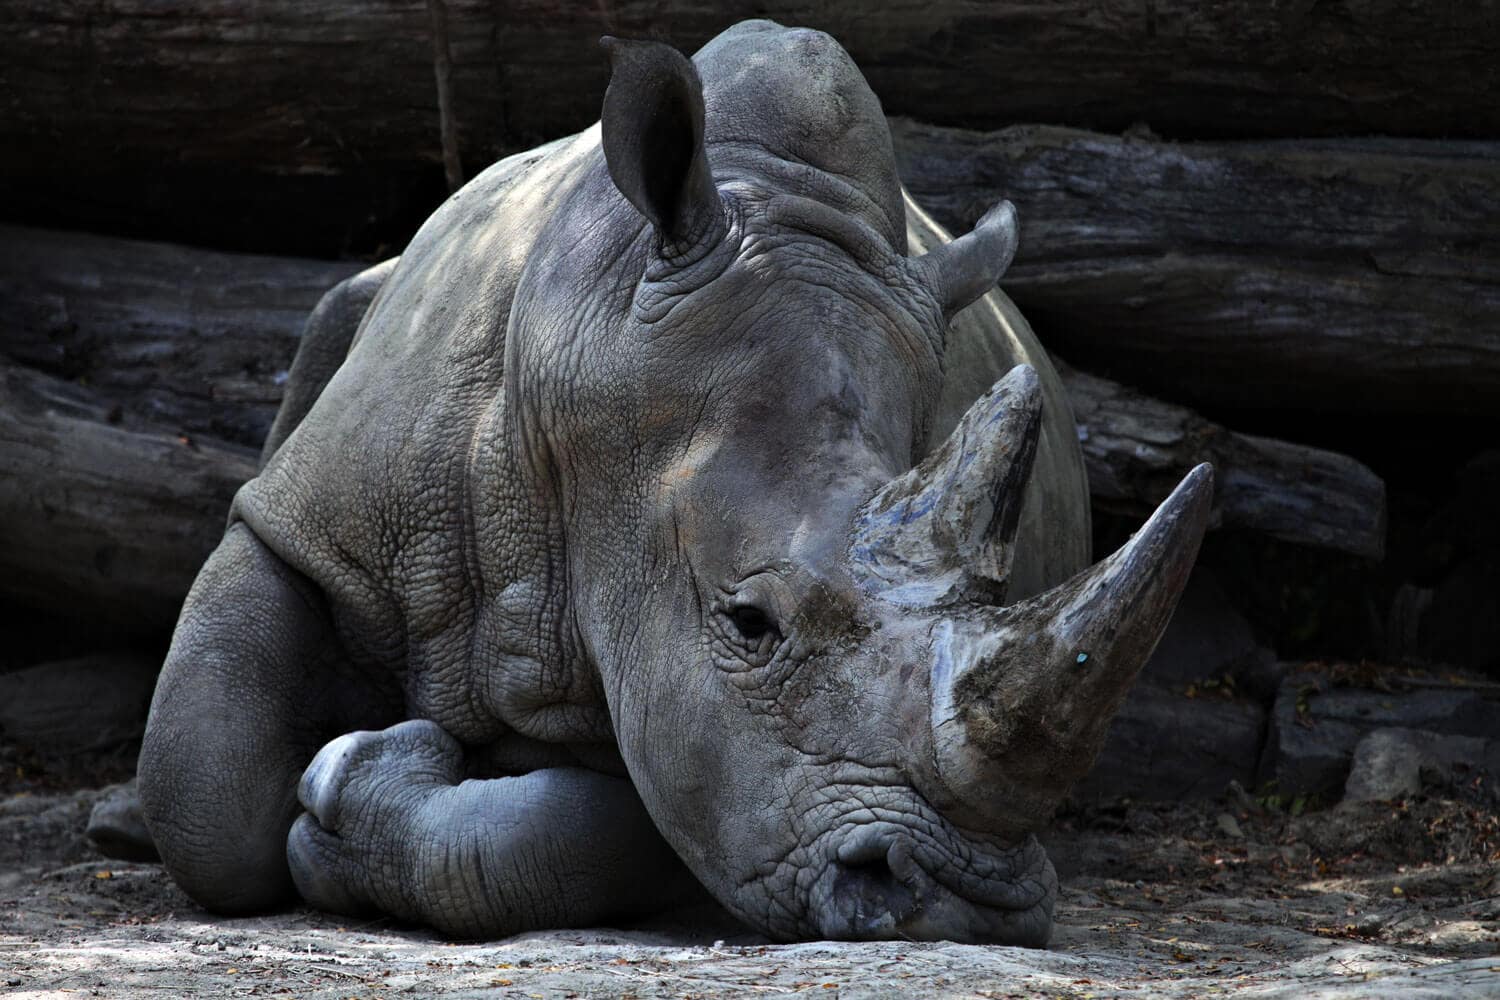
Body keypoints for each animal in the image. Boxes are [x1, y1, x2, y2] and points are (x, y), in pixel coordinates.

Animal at [135, 20, 1211, 946]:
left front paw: (360, 781)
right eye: (750, 623)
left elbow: (614, 825)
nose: (961, 903)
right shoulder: (316, 522)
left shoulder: (696, 722)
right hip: (366, 297)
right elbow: (202, 788)